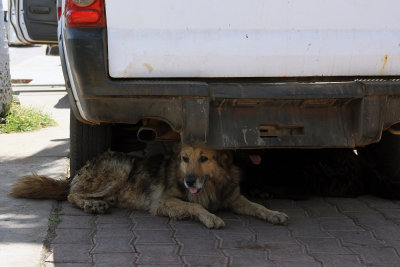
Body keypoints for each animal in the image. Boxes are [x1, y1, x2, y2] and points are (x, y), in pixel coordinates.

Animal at [8, 143, 288, 229]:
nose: (189, 181)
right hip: (120, 170)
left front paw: (274, 213)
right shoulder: (165, 202)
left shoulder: (234, 198)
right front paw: (210, 217)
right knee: (71, 195)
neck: (211, 186)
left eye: (204, 158)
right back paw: (92, 204)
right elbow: (196, 208)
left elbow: (258, 206)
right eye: (185, 159)